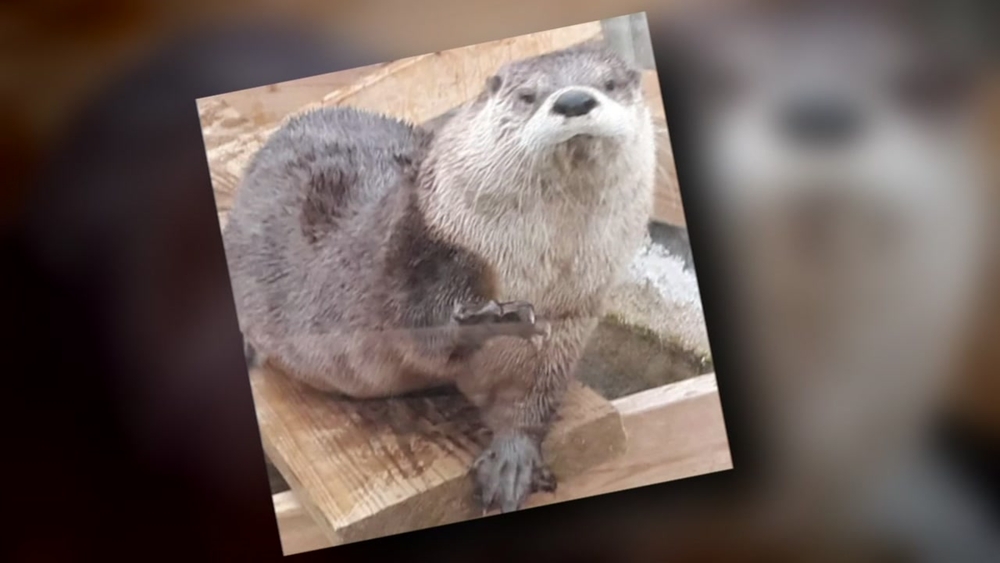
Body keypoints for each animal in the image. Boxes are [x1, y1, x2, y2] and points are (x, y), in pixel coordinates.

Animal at [222, 42, 656, 513]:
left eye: (609, 84)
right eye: (528, 96)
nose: (574, 100)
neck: (538, 268)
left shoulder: (570, 319)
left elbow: (528, 396)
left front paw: (512, 460)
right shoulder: (421, 251)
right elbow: (418, 328)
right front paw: (491, 320)